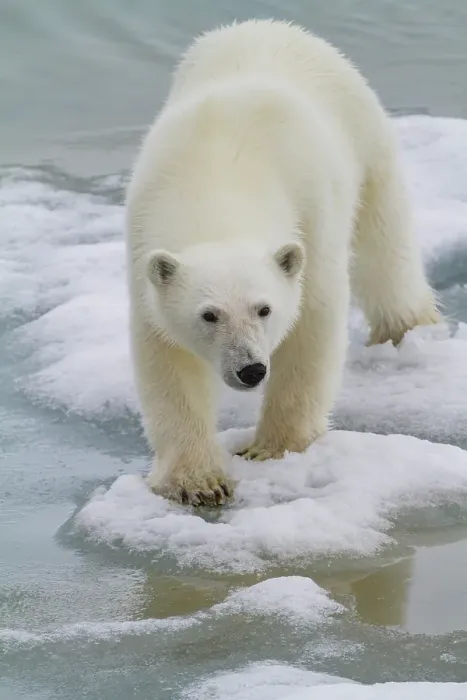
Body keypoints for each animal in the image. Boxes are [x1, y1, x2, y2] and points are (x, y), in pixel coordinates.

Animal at [125, 19, 440, 507]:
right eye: (209, 315)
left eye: (264, 309)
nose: (251, 369)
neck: (217, 178)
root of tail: (267, 24)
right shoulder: (144, 242)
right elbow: (167, 359)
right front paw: (198, 482)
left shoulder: (310, 212)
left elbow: (312, 323)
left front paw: (272, 449)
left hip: (364, 135)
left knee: (384, 244)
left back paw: (405, 327)